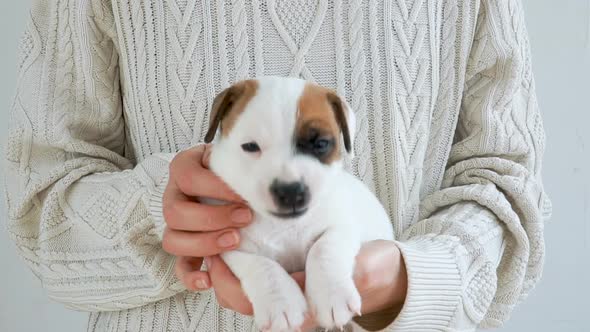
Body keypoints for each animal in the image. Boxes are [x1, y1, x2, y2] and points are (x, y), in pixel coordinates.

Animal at [206, 76, 396, 330]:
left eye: (321, 144)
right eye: (250, 147)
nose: (290, 191)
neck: (284, 226)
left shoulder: (343, 226)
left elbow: (323, 249)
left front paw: (331, 294)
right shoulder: (231, 245)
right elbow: (262, 266)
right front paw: (281, 303)